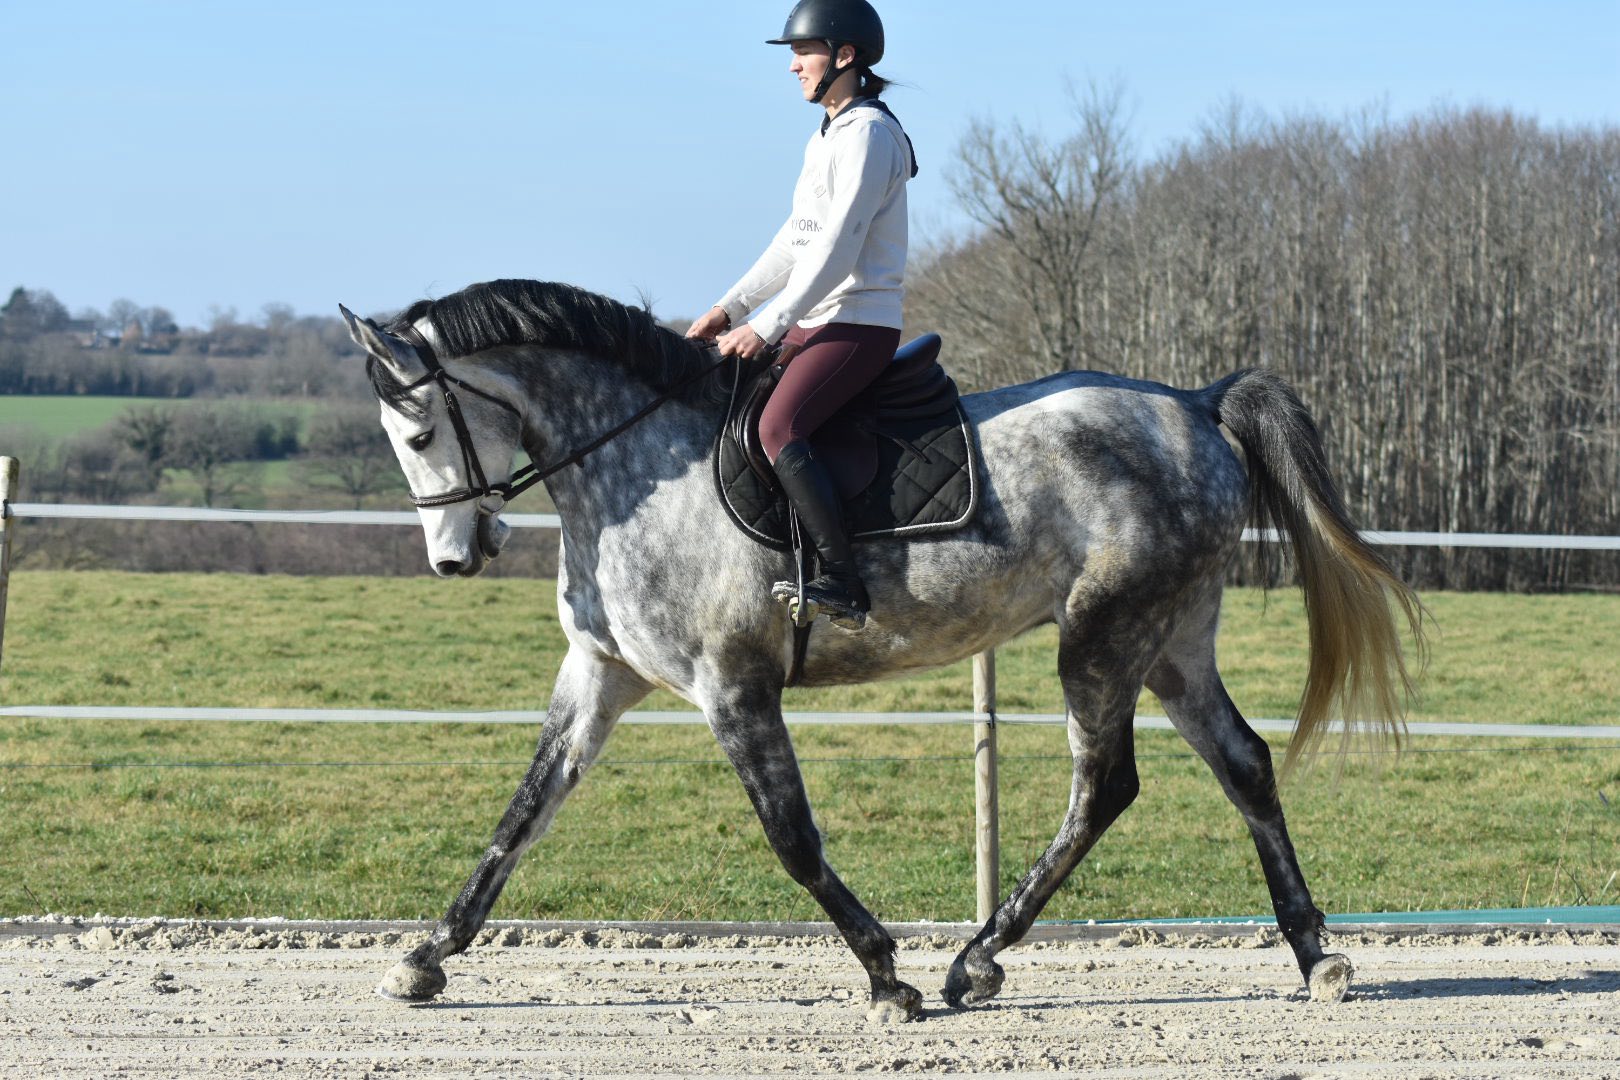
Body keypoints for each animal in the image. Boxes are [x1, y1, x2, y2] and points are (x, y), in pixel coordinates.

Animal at [339, 278, 1421, 1021]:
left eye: (421, 432)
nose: (455, 556)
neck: (638, 469)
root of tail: (1193, 404)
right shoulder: (600, 673)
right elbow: (524, 812)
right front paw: (426, 958)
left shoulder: (735, 687)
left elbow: (792, 837)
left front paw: (885, 975)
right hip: (1173, 640)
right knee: (1243, 764)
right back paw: (1315, 955)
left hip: (1104, 638)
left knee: (1104, 786)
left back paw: (975, 962)